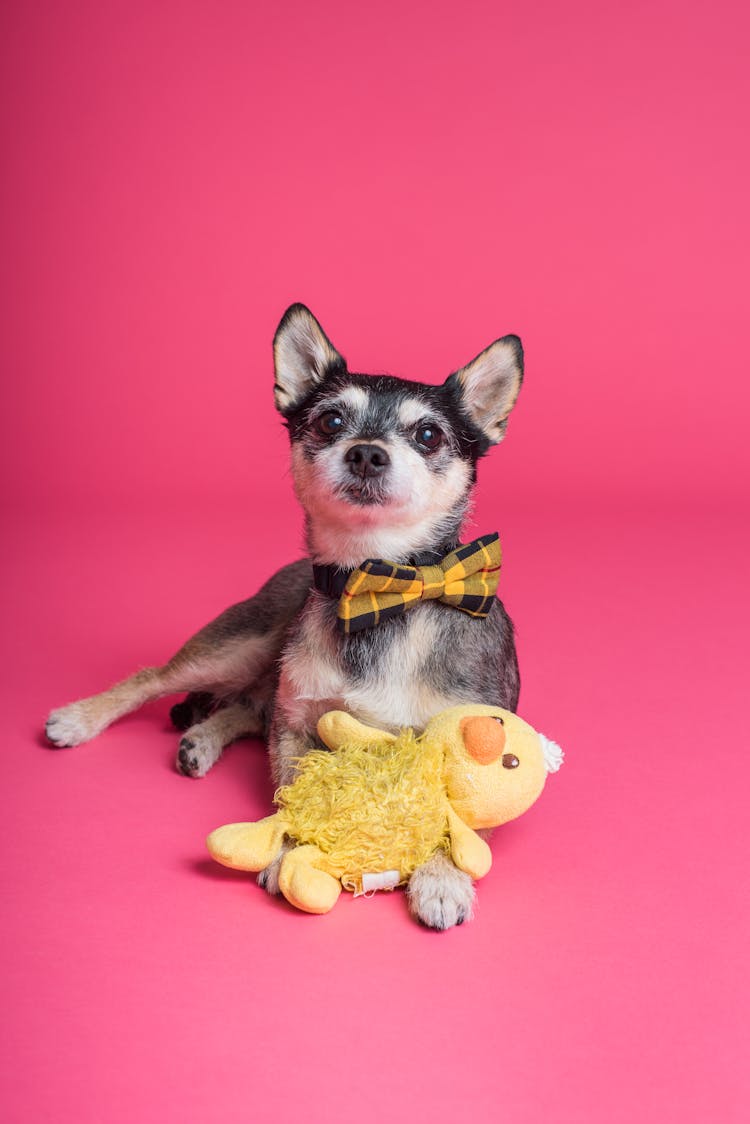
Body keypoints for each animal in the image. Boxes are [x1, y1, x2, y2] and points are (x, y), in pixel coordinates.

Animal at [46, 303, 526, 926]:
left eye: (428, 434)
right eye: (329, 422)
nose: (366, 451)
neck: (380, 588)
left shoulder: (469, 743)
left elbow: (460, 819)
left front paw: (443, 880)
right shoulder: (299, 722)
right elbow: (293, 789)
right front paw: (294, 854)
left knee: (250, 708)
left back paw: (199, 740)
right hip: (240, 645)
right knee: (159, 680)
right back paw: (81, 720)